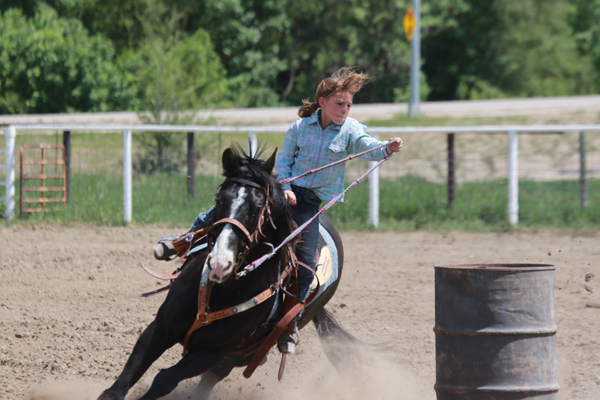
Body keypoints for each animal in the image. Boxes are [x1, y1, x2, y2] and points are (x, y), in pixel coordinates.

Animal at [98, 147, 352, 400]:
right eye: (219, 200)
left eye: (258, 207)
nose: (220, 263)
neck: (220, 291)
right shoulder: (161, 327)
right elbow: (128, 373)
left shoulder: (213, 352)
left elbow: (164, 379)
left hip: (242, 354)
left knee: (209, 380)